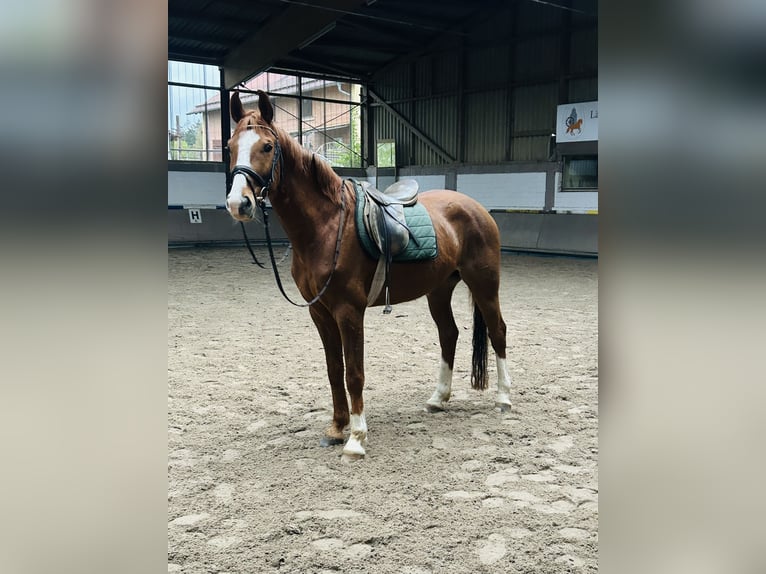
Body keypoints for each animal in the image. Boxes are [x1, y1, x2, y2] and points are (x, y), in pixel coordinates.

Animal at [224, 90, 512, 460]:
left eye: (267, 146)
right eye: (230, 146)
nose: (239, 204)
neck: (327, 225)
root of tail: (476, 208)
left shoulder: (349, 311)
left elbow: (354, 373)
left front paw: (356, 439)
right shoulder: (320, 312)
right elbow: (334, 370)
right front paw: (336, 428)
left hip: (484, 284)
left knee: (497, 331)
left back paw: (504, 398)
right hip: (438, 290)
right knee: (449, 334)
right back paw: (438, 399)